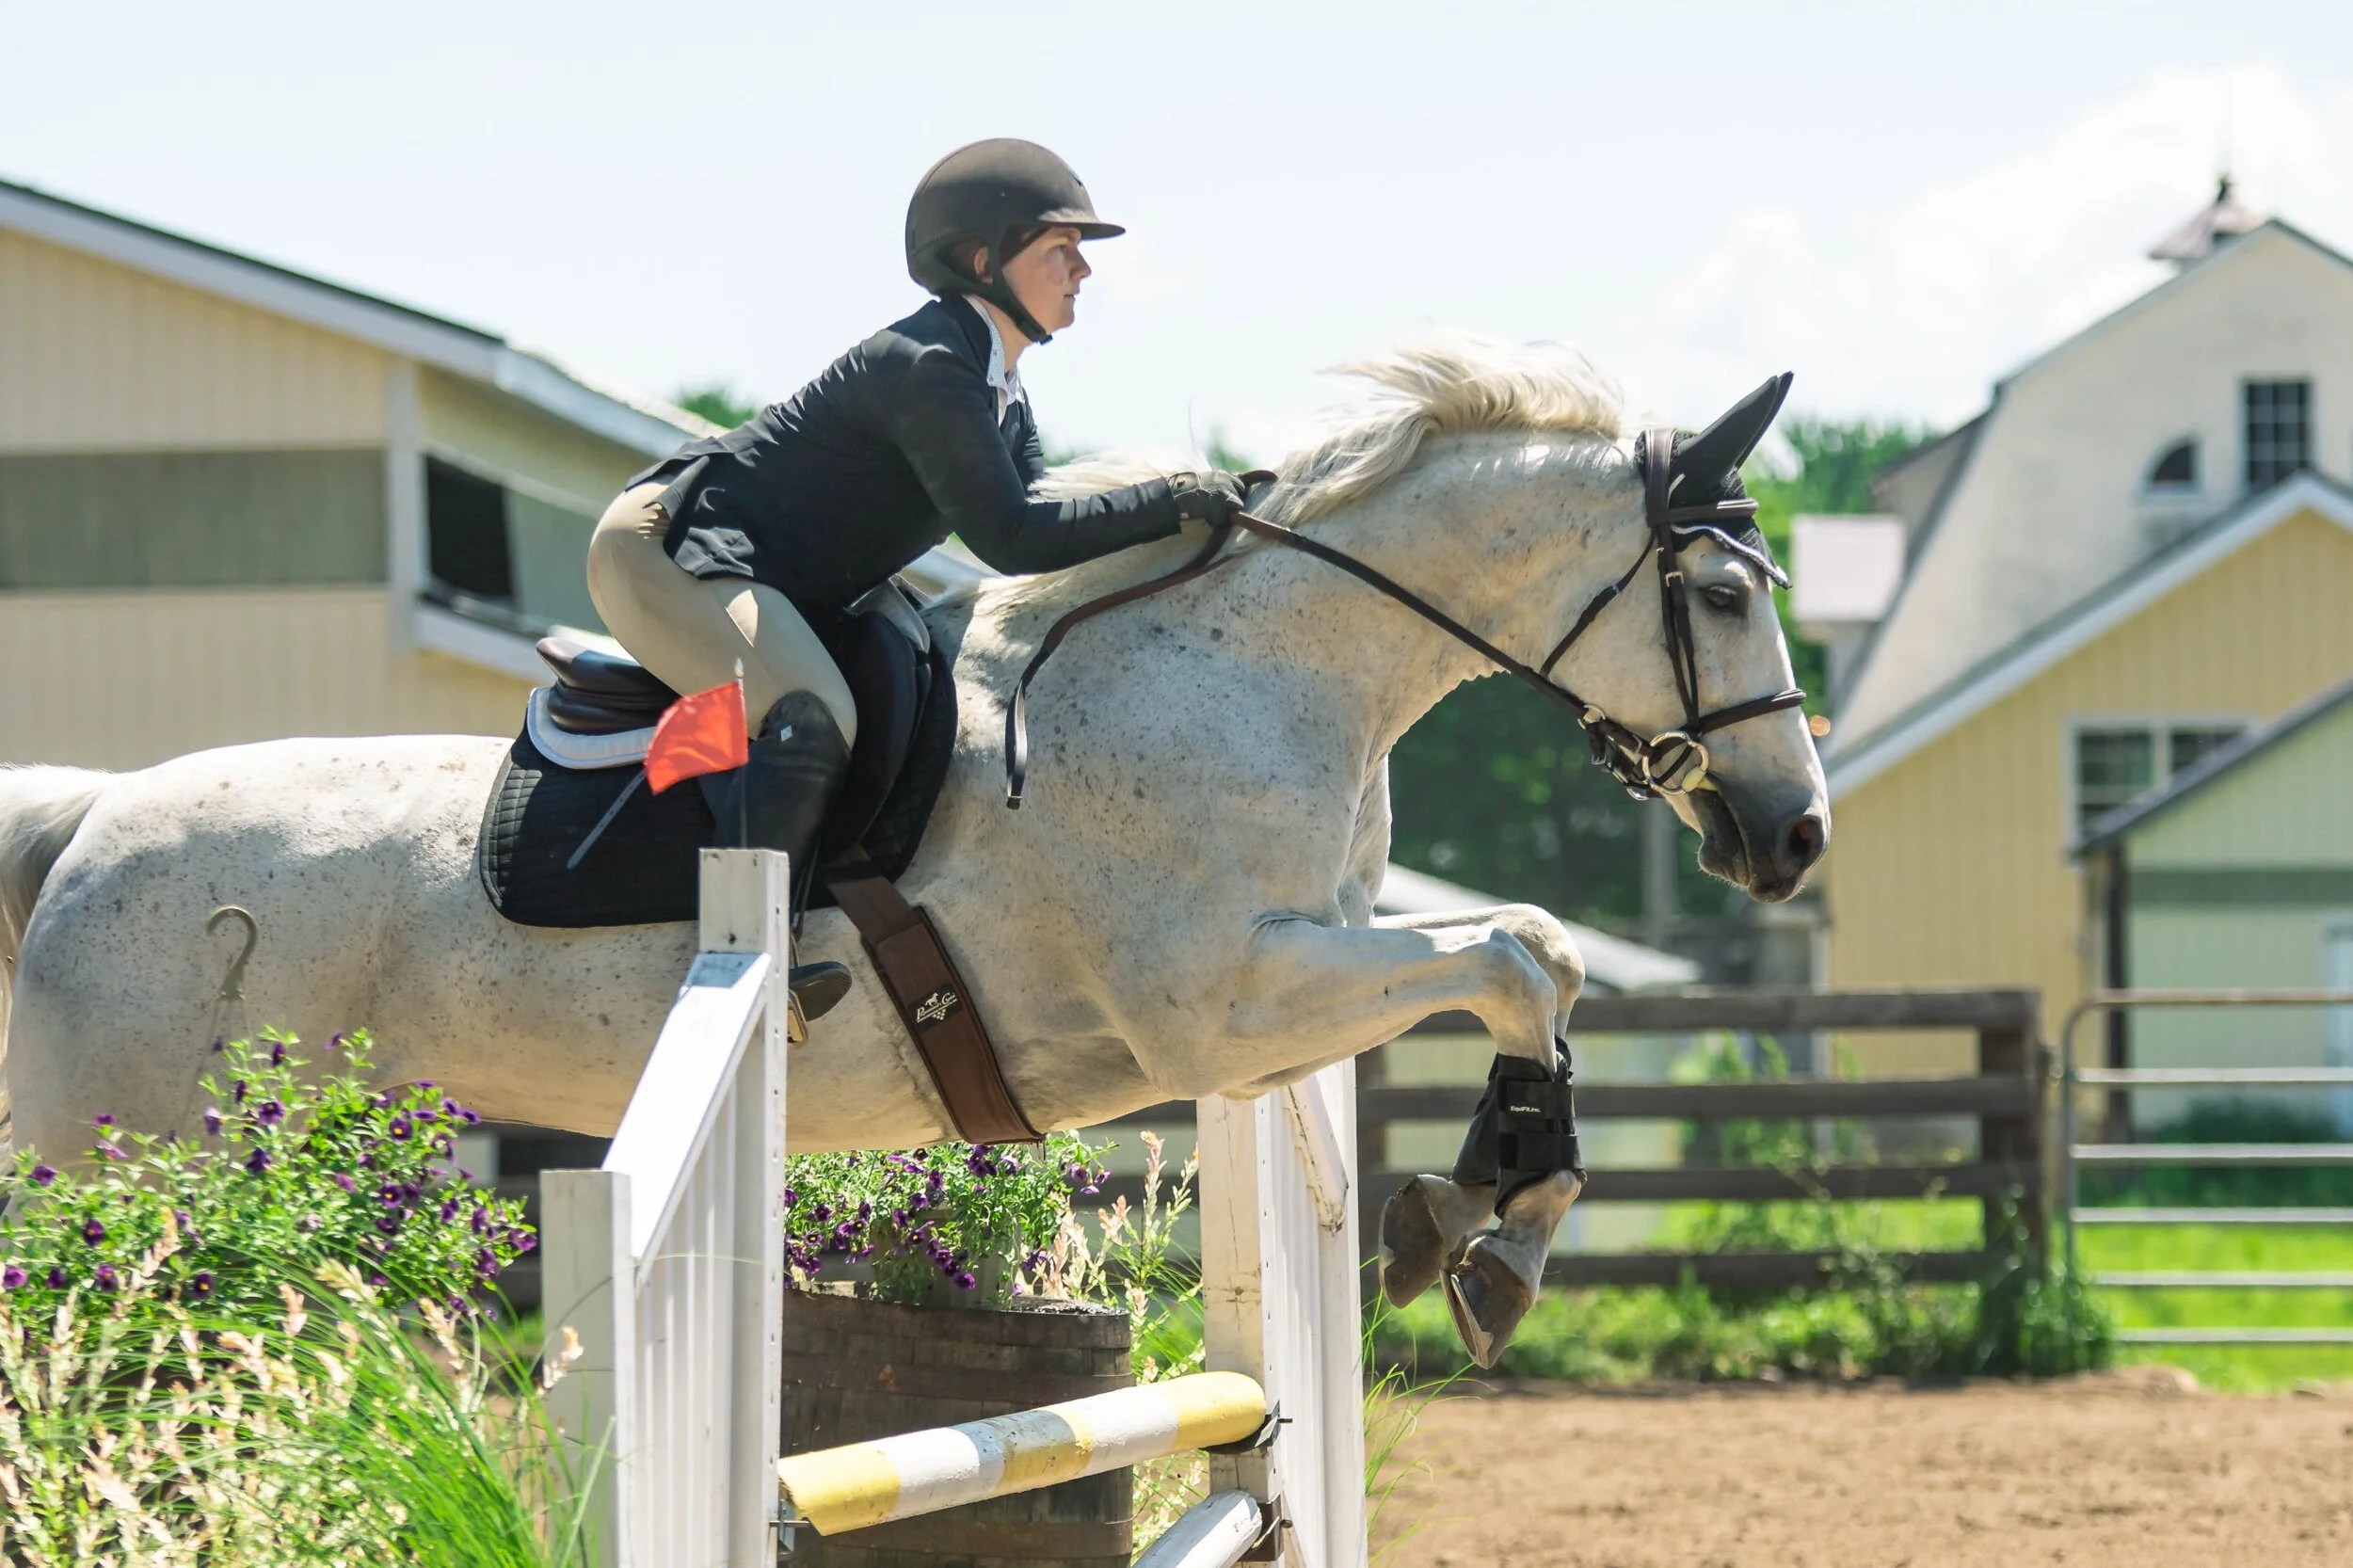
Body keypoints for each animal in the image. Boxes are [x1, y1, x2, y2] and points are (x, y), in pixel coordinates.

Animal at [0, 335, 1828, 1364]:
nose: (1794, 837)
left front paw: (1477, 1218)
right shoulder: (1227, 1002)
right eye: (1720, 593)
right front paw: (1492, 1229)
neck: (1260, 669)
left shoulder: (1277, 1000)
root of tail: (94, 814)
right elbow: (1518, 951)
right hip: (120, 1163)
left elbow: (1544, 958)